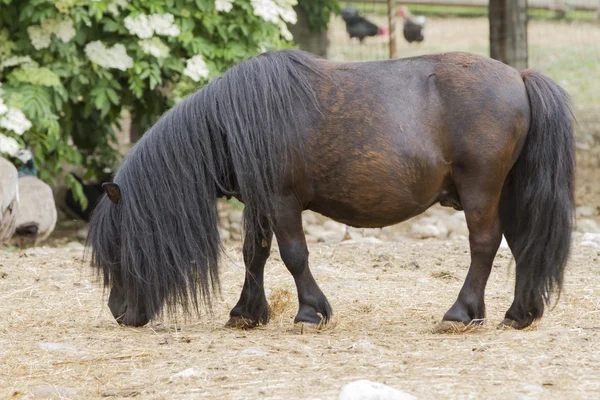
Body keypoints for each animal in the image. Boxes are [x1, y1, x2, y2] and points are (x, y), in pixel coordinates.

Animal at [86, 48, 576, 330]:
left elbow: (293, 256)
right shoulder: (260, 205)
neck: (234, 121)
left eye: (119, 250)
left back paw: (461, 312)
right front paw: (246, 313)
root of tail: (519, 78)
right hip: (505, 192)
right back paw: (519, 314)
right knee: (522, 244)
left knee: (485, 244)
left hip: (480, 190)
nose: (118, 313)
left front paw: (309, 312)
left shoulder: (282, 202)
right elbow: (254, 255)